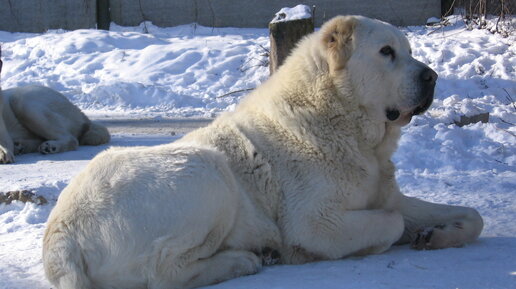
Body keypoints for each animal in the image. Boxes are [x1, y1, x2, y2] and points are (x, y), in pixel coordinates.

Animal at [42, 15, 482, 288]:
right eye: (386, 52)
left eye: (407, 51)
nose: (432, 77)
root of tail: (60, 231)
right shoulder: (315, 222)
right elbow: (390, 222)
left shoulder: (386, 194)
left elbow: (470, 216)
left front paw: (437, 234)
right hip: (206, 172)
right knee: (163, 272)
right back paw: (246, 260)